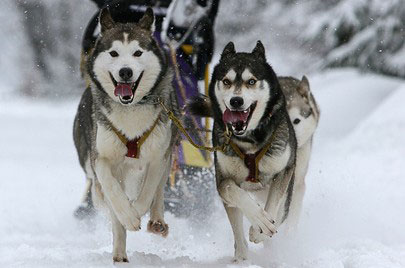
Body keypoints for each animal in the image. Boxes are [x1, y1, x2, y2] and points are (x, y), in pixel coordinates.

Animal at [188, 40, 296, 260]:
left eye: (251, 81)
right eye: (227, 81)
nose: (236, 101)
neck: (249, 141)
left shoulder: (283, 171)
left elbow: (272, 207)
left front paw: (259, 230)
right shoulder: (223, 181)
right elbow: (235, 193)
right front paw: (258, 221)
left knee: (279, 213)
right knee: (238, 230)